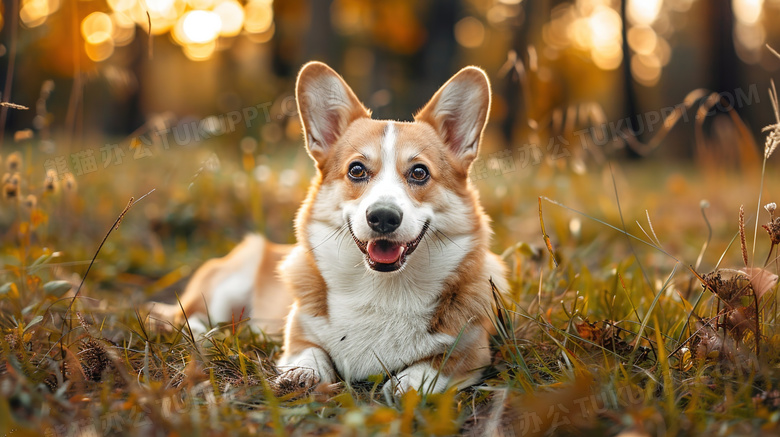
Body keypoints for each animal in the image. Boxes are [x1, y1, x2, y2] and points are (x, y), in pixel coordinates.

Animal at [149, 62, 508, 396]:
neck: (381, 289)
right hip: (225, 290)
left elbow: (437, 364)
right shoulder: (299, 335)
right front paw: (301, 374)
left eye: (419, 172)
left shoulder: (474, 351)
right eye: (357, 170)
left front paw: (408, 383)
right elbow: (310, 352)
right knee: (190, 317)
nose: (383, 217)